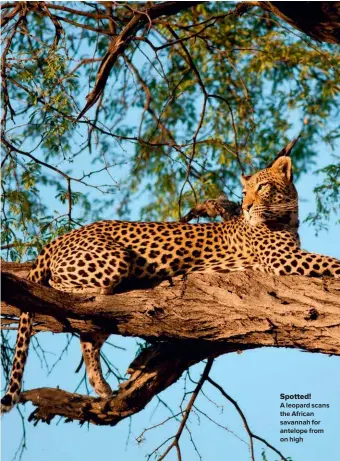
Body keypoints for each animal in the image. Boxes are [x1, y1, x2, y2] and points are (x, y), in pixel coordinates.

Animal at [1, 143, 338, 410]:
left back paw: (101, 385)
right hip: (114, 260)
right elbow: (331, 261)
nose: (246, 206)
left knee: (88, 334)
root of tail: (63, 236)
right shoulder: (284, 260)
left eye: (264, 187)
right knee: (54, 289)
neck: (287, 218)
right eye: (245, 192)